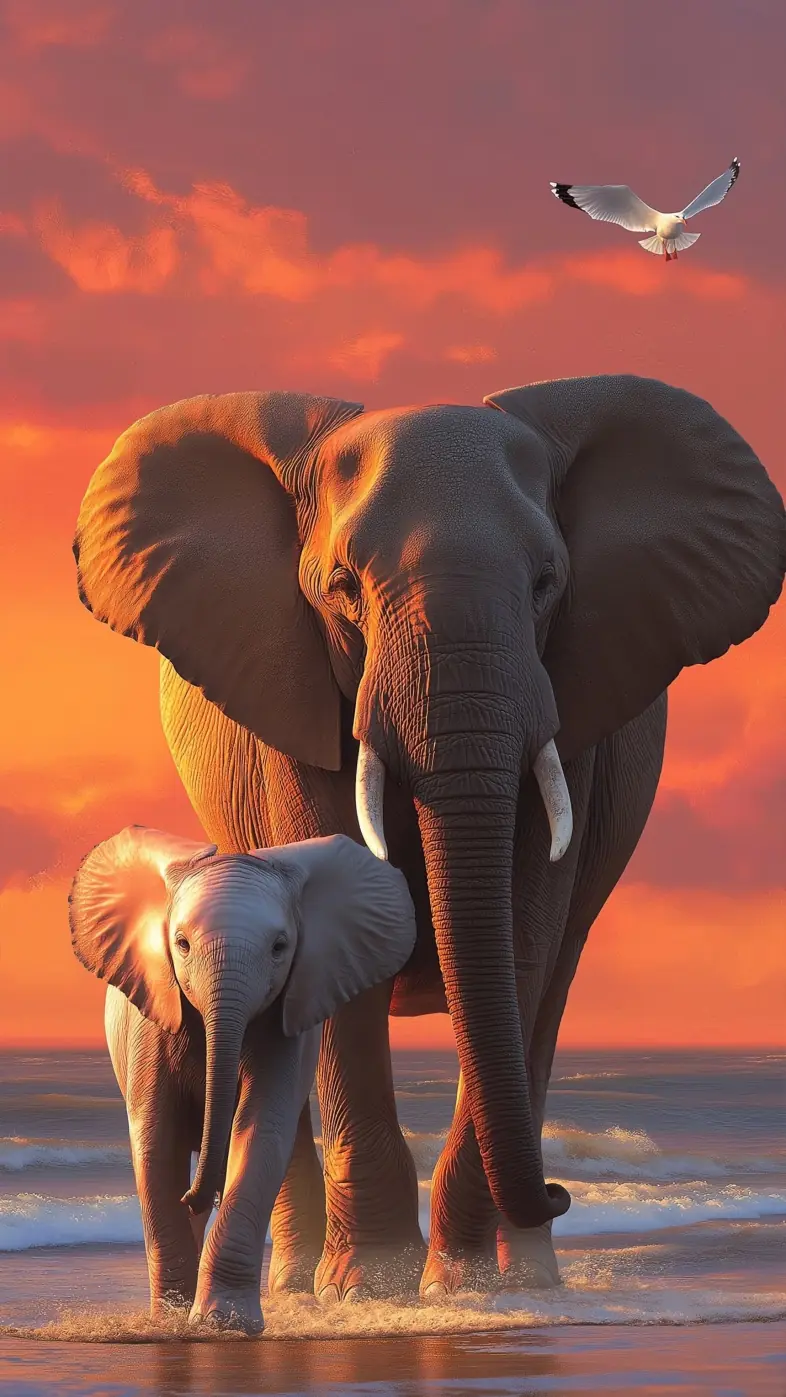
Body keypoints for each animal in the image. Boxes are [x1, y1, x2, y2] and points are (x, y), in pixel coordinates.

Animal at [68, 824, 416, 1332]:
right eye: (181, 943)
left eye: (279, 948)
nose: (196, 1197)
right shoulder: (153, 1016)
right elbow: (155, 1138)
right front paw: (170, 1324)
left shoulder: (287, 1020)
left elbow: (261, 1130)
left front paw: (222, 1324)